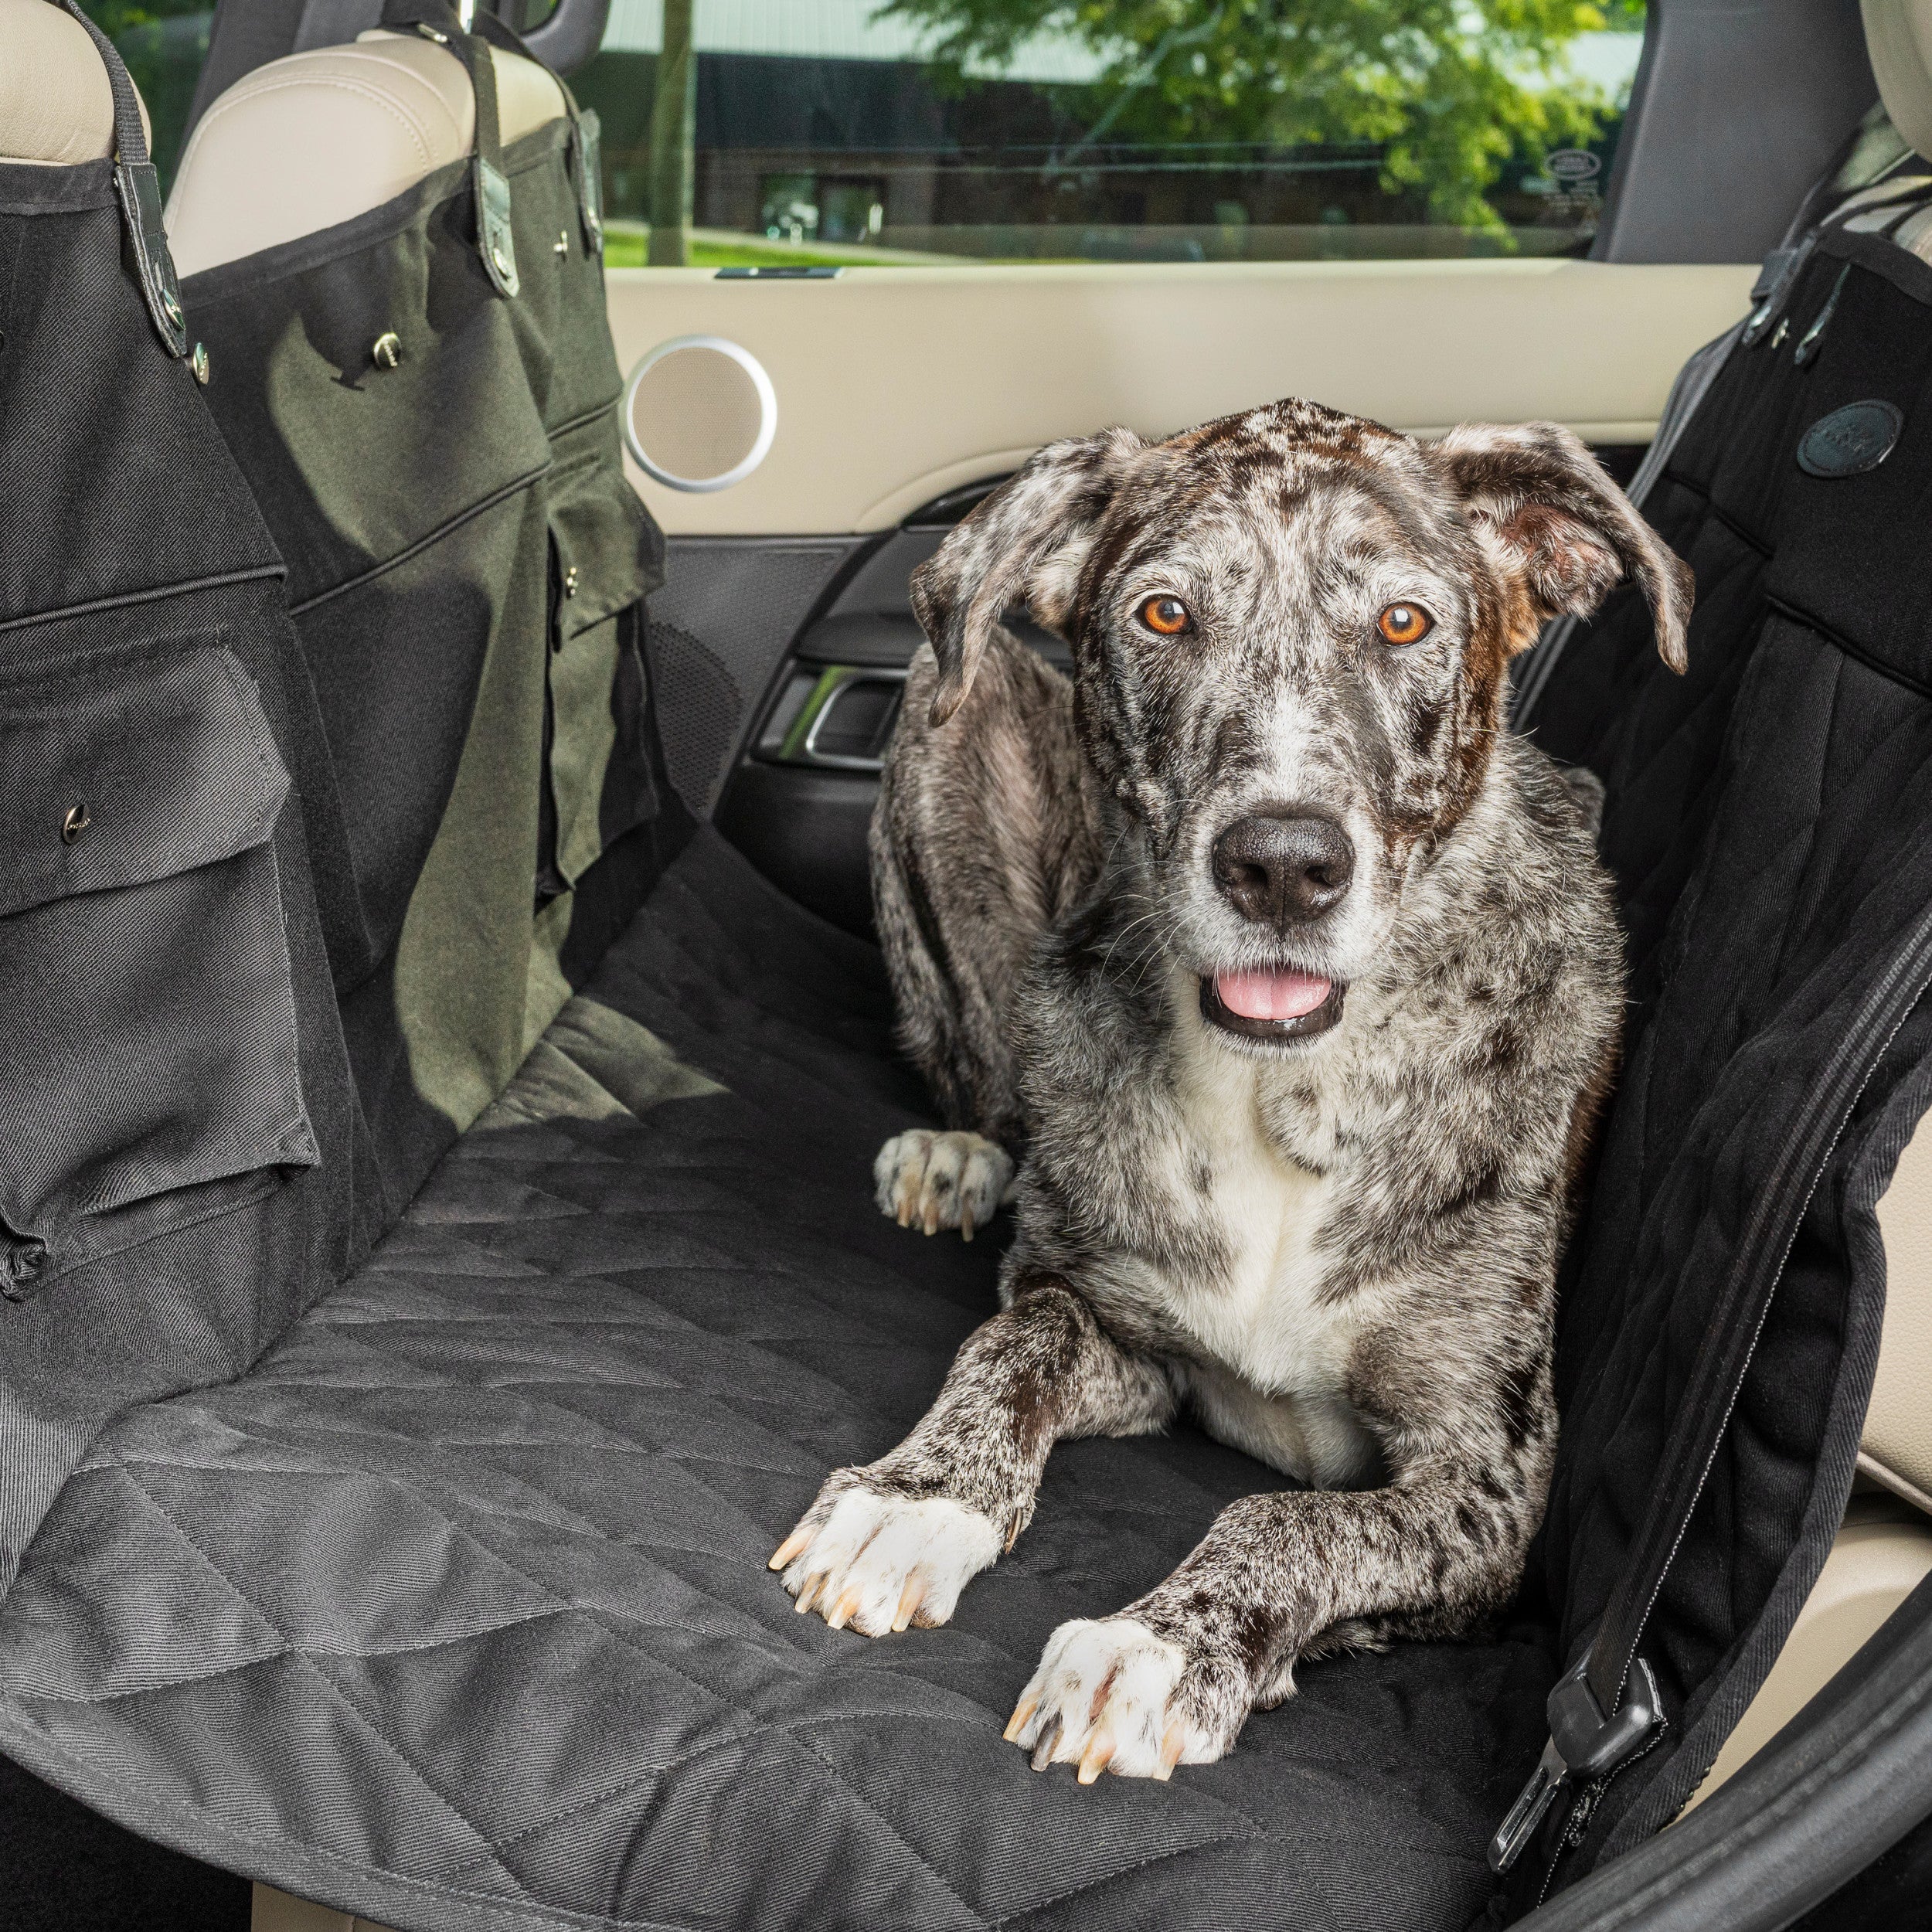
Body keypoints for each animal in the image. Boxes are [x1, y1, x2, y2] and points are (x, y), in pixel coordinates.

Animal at [769, 400, 1692, 1785]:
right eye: (1164, 615)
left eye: (1405, 622)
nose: (1284, 865)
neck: (1291, 1087)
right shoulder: (1122, 1329)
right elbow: (1008, 1343)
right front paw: (914, 1502)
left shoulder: (1488, 1491)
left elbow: (1287, 1519)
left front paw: (1154, 1647)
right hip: (944, 702)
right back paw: (962, 1150)